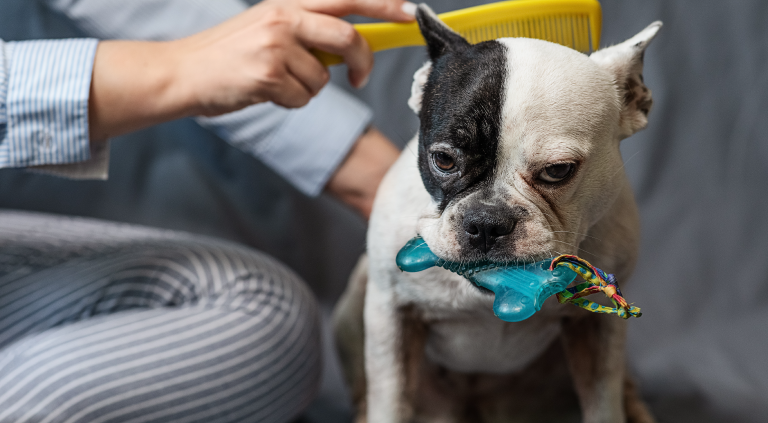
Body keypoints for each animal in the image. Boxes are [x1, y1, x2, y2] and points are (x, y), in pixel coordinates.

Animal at [332, 4, 664, 423]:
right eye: (443, 159)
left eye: (558, 170)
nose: (487, 223)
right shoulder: (390, 317)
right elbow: (389, 400)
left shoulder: (597, 331)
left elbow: (603, 403)